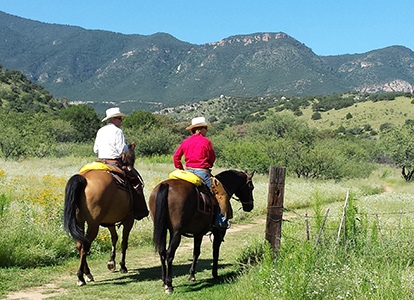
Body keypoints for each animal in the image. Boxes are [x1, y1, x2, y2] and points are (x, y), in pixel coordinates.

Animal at [62, 144, 145, 288]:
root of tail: (84, 179)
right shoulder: (128, 220)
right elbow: (124, 242)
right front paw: (122, 266)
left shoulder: (110, 221)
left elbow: (114, 237)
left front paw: (112, 262)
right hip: (93, 225)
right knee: (85, 246)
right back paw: (81, 277)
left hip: (79, 221)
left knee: (79, 244)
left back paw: (87, 273)